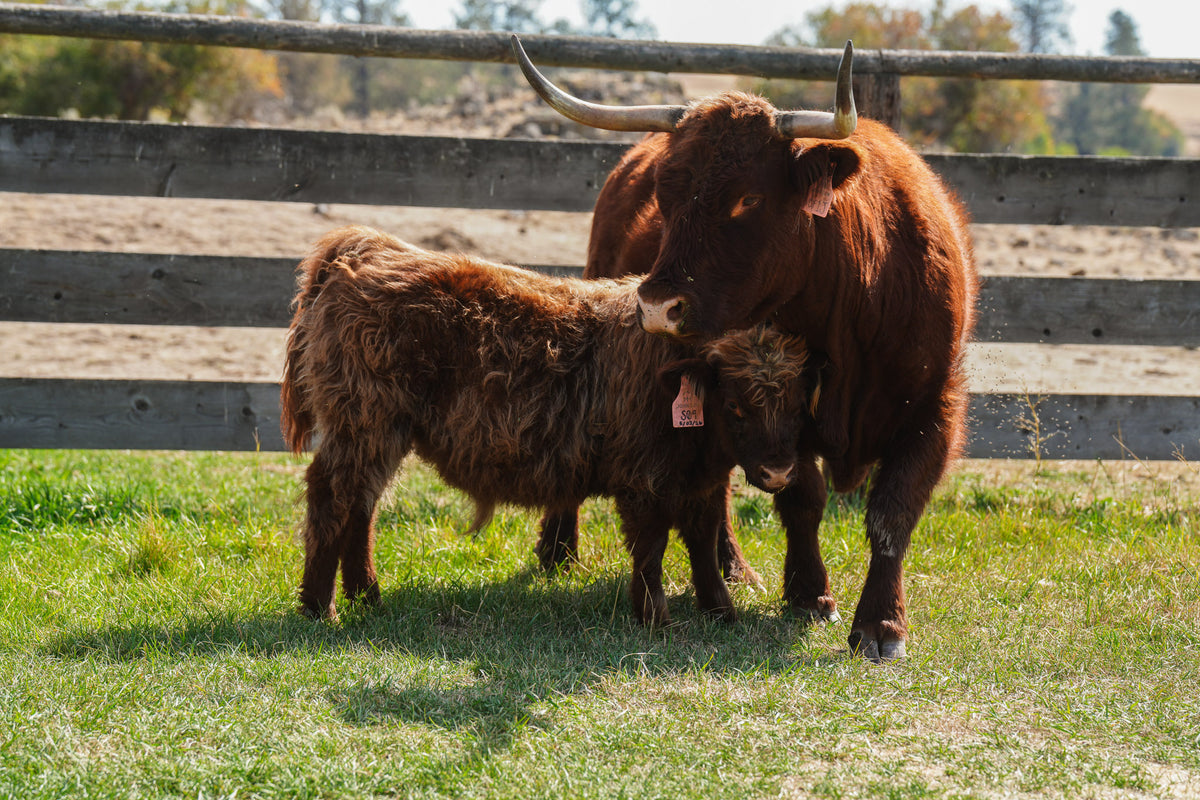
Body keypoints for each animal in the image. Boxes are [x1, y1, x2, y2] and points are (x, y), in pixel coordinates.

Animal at [280, 225, 824, 626]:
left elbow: (704, 542)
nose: (779, 472)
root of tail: (371, 247)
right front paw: (657, 618)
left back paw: (366, 595)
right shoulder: (642, 478)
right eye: (735, 405)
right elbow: (651, 546)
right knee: (332, 496)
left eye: (798, 406)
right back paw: (320, 607)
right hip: (364, 421)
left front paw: (721, 611)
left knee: (362, 504)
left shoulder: (702, 483)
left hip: (380, 432)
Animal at [512, 36, 979, 661]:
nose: (657, 306)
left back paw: (731, 568)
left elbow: (892, 512)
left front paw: (881, 624)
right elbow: (802, 496)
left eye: (748, 199)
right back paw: (560, 548)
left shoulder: (935, 407)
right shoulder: (777, 413)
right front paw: (810, 592)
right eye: (665, 195)